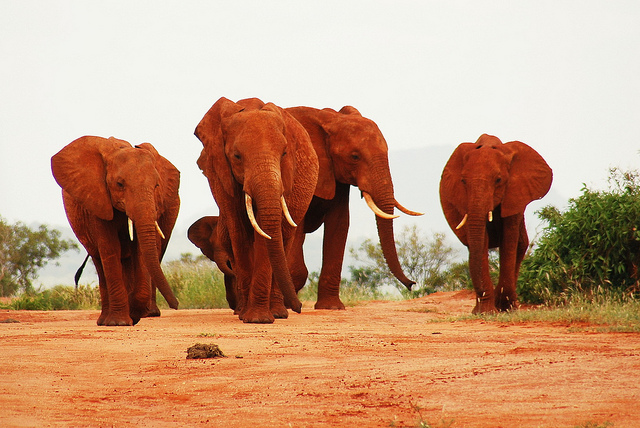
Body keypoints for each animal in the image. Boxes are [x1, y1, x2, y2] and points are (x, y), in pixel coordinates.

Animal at [49, 135, 180, 326]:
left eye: (157, 186)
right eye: (119, 184)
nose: (176, 305)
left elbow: (140, 251)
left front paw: (134, 313)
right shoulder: (97, 200)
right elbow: (110, 248)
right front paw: (120, 322)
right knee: (99, 261)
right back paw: (104, 320)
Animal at [192, 97, 318, 322]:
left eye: (284, 153)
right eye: (236, 156)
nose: (300, 307)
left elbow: (266, 236)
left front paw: (259, 319)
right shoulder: (221, 175)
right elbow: (239, 233)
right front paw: (249, 317)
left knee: (285, 239)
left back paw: (278, 313)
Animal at [288, 105, 422, 310]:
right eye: (355, 157)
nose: (412, 284)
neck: (328, 118)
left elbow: (340, 223)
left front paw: (332, 308)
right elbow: (297, 224)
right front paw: (291, 305)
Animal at [440, 135, 552, 312]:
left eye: (498, 180)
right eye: (463, 181)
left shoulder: (516, 193)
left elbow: (509, 239)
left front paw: (505, 307)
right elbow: (481, 240)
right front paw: (485, 312)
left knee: (521, 244)